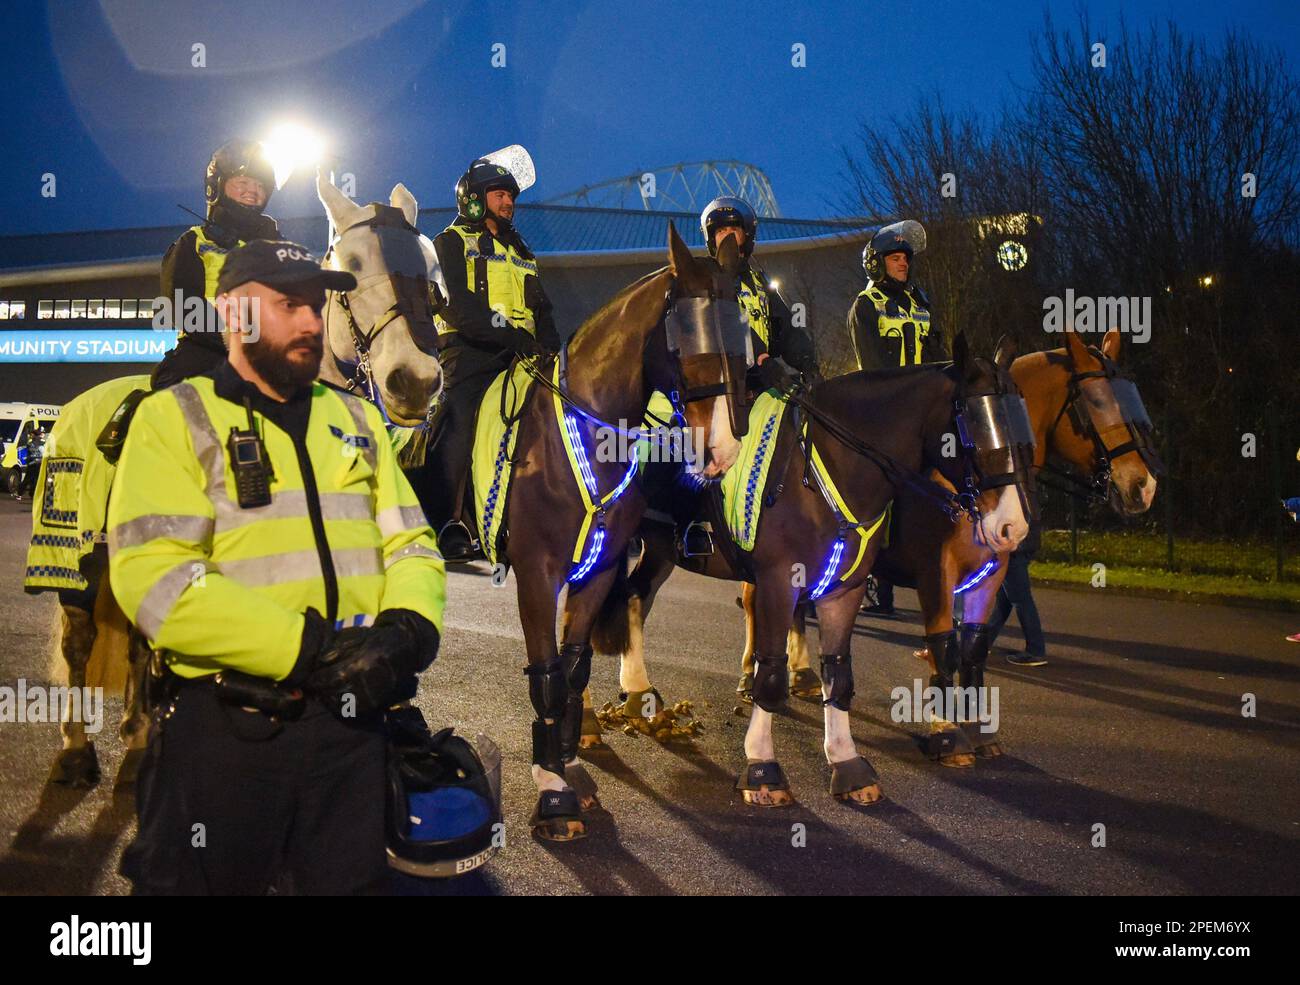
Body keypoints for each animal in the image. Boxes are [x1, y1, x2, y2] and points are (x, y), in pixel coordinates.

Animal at [29, 175, 447, 795]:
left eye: (430, 266)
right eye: (349, 266)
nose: (415, 381)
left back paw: (133, 731)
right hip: (75, 560)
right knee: (79, 644)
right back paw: (79, 751)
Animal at [592, 335, 1034, 805]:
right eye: (975, 424)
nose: (1013, 526)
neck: (826, 471)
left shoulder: (847, 589)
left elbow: (840, 672)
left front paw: (846, 761)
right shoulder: (784, 582)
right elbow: (772, 673)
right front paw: (762, 767)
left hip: (661, 550)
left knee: (635, 597)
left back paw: (638, 692)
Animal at [738, 327, 1164, 769]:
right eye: (1096, 401)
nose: (1144, 485)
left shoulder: (992, 572)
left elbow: (973, 647)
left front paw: (976, 726)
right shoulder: (935, 574)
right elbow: (944, 646)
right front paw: (945, 730)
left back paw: (801, 672)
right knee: (756, 603)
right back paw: (754, 674)